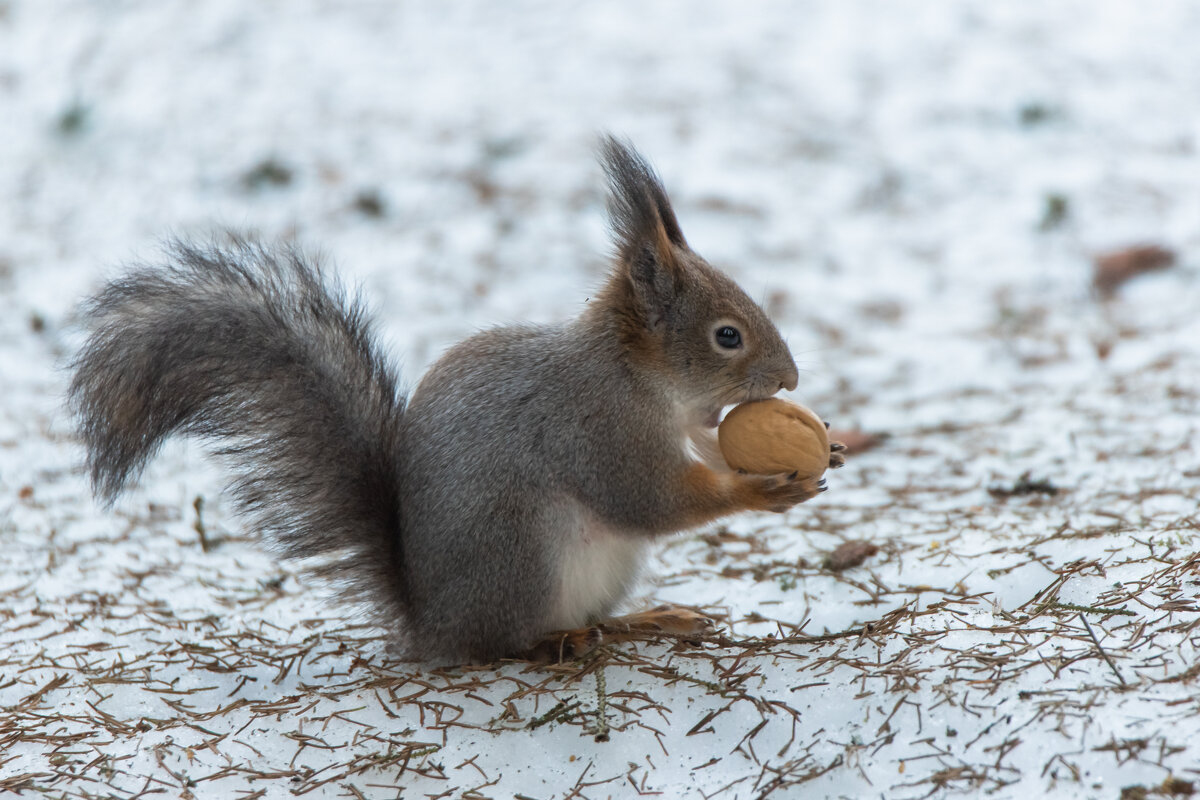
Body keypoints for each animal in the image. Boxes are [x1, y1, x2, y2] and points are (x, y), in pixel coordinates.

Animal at [68, 139, 835, 662]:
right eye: (727, 336)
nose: (792, 379)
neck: (634, 377)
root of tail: (432, 622)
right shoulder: (596, 427)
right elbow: (649, 500)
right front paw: (760, 488)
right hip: (523, 555)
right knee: (506, 644)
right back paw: (557, 645)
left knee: (591, 618)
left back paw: (643, 620)